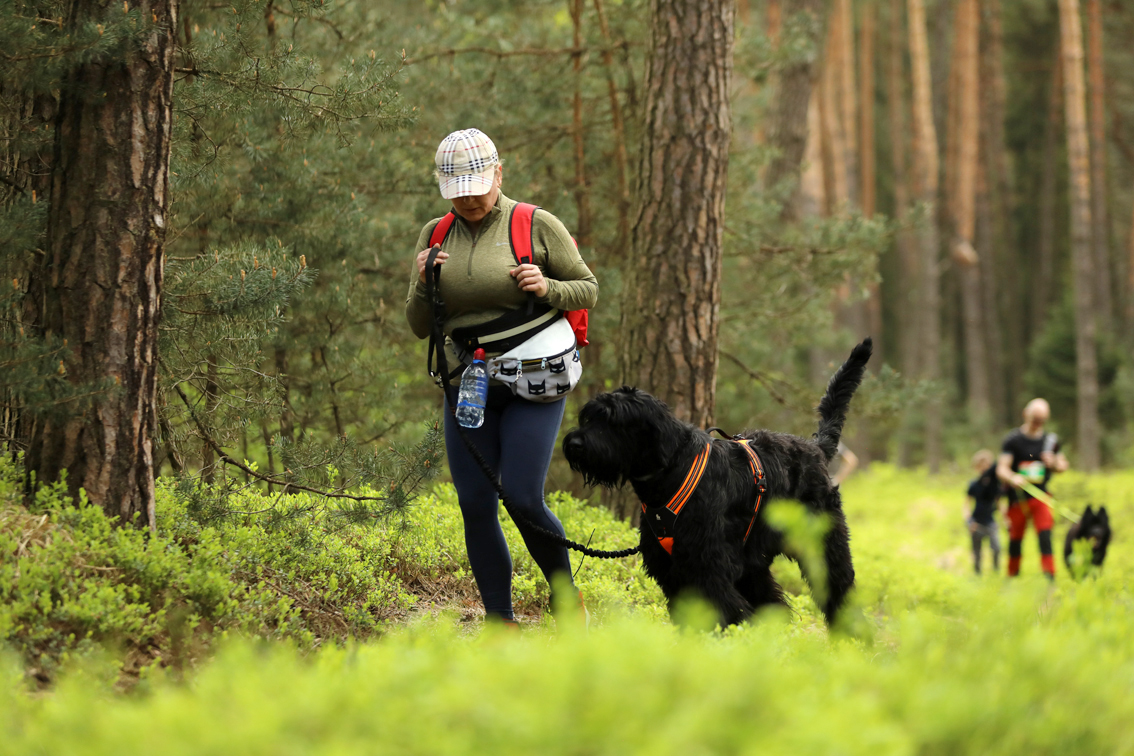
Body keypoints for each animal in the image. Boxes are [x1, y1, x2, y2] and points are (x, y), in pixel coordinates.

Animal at [563, 338, 872, 627]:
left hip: (823, 545)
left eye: (613, 421)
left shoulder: (708, 563)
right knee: (773, 603)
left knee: (839, 590)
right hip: (754, 559)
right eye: (589, 416)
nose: (574, 443)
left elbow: (725, 608)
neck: (670, 470)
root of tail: (816, 448)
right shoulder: (671, 567)